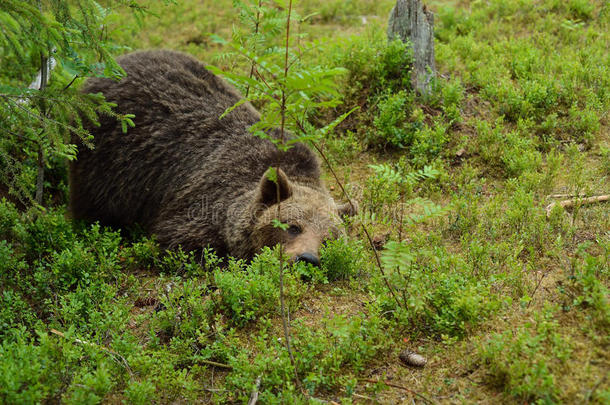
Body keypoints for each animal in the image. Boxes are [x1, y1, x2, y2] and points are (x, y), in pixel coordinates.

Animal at [69, 49, 354, 264]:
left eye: (328, 239)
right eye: (293, 226)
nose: (307, 258)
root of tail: (112, 62)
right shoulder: (207, 195)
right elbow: (182, 240)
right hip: (106, 154)